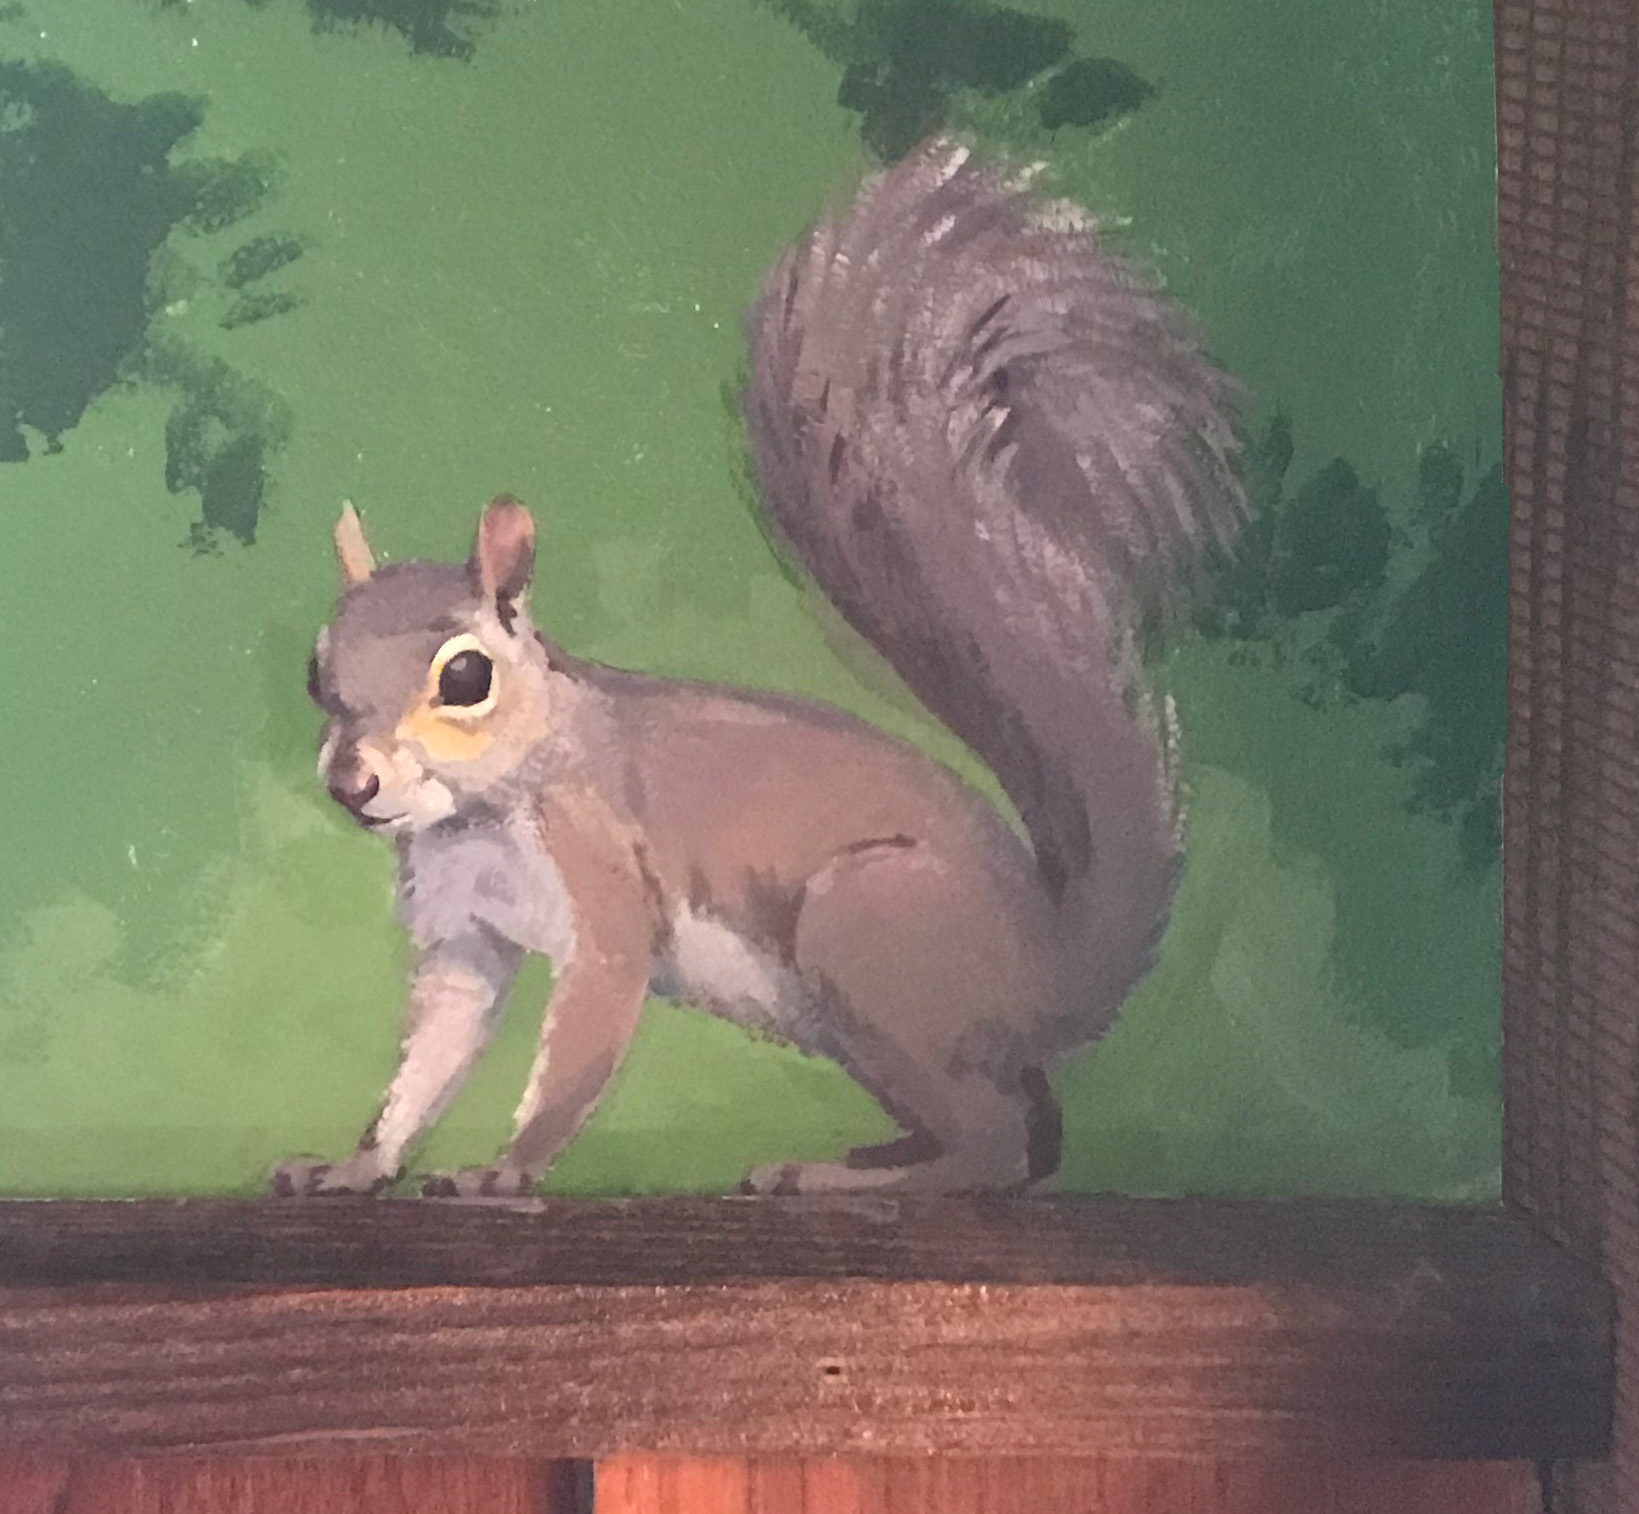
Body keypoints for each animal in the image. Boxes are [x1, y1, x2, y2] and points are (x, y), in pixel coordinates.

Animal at [272, 138, 1244, 1200]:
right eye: (316, 672)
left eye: (464, 679)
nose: (352, 782)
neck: (482, 810)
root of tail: (1052, 971)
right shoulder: (461, 934)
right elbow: (432, 1058)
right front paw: (357, 1163)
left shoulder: (604, 885)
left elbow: (579, 1051)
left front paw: (505, 1172)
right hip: (855, 1018)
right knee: (1028, 1130)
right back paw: (873, 1156)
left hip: (869, 934)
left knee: (996, 1145)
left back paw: (840, 1179)